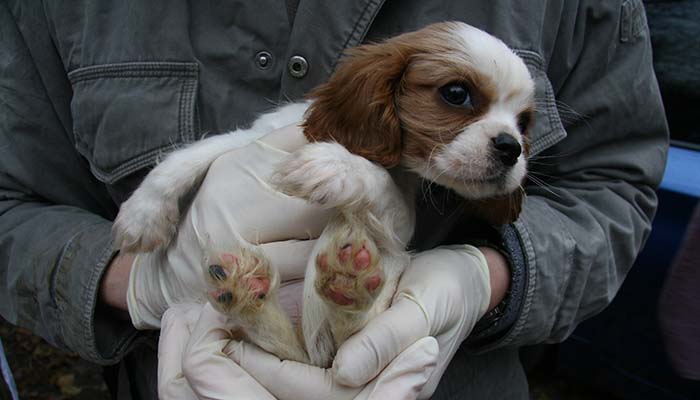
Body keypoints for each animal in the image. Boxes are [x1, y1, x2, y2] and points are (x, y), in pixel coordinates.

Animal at [112, 21, 532, 366]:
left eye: (524, 122)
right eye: (457, 93)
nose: (511, 147)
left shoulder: (399, 223)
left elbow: (376, 181)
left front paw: (334, 165)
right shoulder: (255, 137)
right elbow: (190, 156)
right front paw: (141, 216)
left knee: (344, 340)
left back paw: (344, 283)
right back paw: (244, 291)